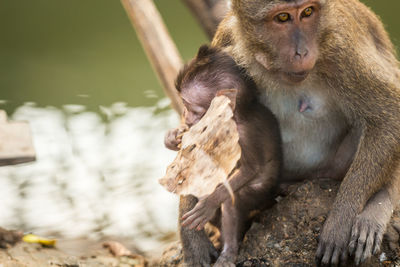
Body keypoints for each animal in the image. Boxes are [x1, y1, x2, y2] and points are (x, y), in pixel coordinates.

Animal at [165, 45, 282, 266]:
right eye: (185, 106)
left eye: (191, 107)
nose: (185, 116)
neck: (233, 116)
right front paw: (172, 137)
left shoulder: (244, 135)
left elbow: (250, 168)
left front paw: (209, 203)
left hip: (260, 193)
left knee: (231, 202)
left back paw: (228, 251)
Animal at [203, 0, 400, 266]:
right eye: (282, 18)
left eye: (307, 12)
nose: (302, 52)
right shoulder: (225, 43)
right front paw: (193, 243)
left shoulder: (342, 51)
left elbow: (388, 116)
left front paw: (340, 221)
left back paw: (379, 204)